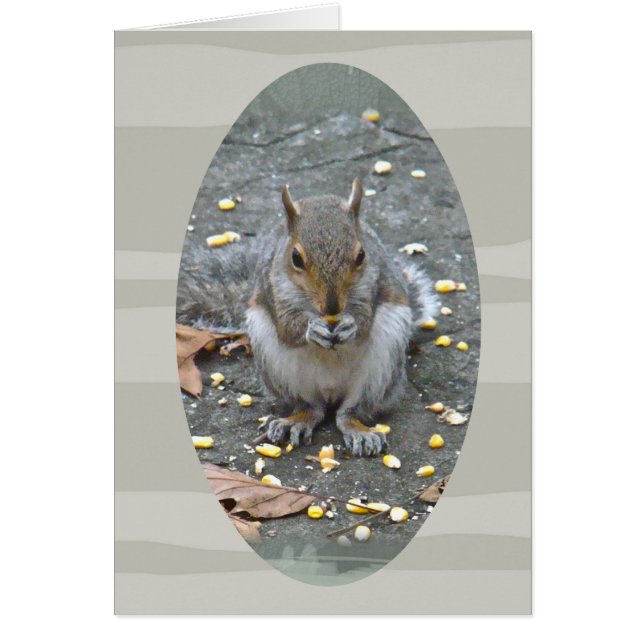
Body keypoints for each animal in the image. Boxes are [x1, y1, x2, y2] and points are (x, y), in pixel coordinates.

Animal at [177, 178, 438, 456]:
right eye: (296, 258)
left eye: (361, 256)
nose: (332, 307)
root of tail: (331, 391)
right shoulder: (273, 288)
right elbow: (287, 328)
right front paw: (311, 329)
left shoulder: (375, 284)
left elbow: (365, 321)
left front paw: (351, 326)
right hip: (277, 365)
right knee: (311, 407)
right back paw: (294, 421)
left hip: (382, 367)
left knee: (350, 411)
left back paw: (359, 430)